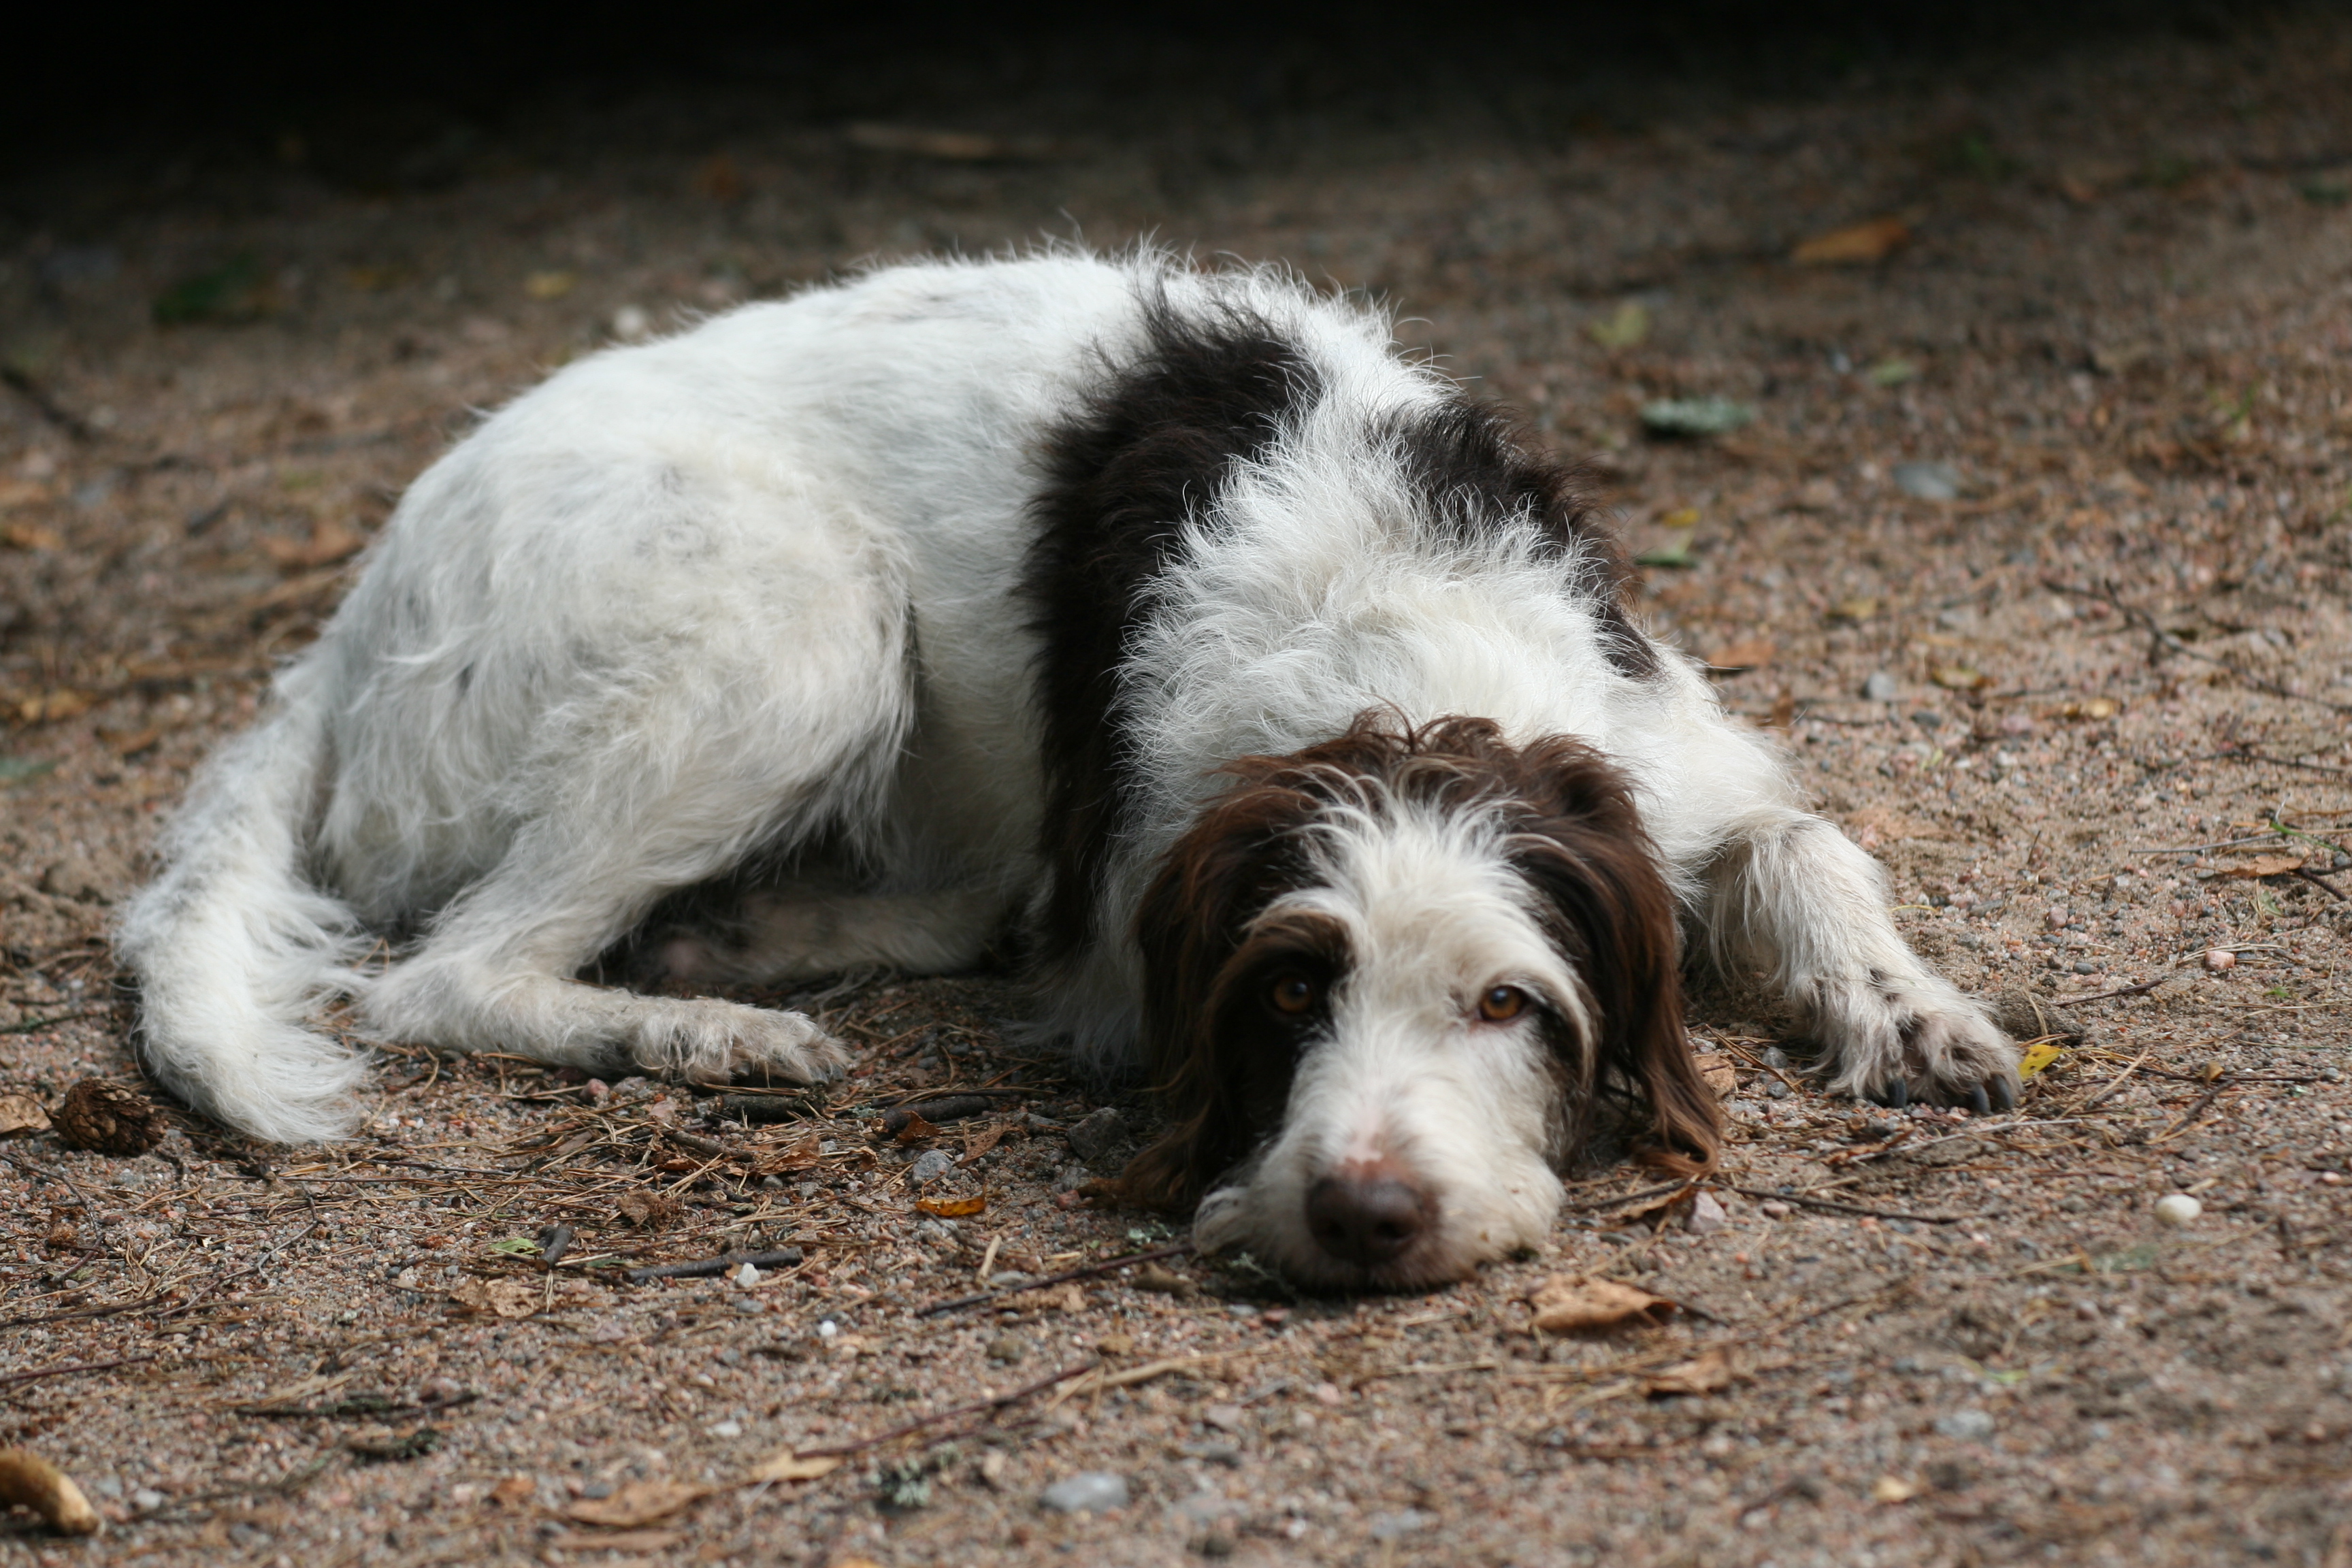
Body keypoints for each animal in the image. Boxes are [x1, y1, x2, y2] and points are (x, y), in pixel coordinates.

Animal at [119, 251, 2013, 1288]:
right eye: (1285, 996)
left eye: (1511, 1007)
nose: (1362, 1211)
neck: (1402, 650)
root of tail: (347, 627)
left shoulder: (1664, 764)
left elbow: (1804, 850)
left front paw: (1908, 1011)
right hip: (800, 626)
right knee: (448, 975)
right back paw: (709, 1029)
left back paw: (746, 943)